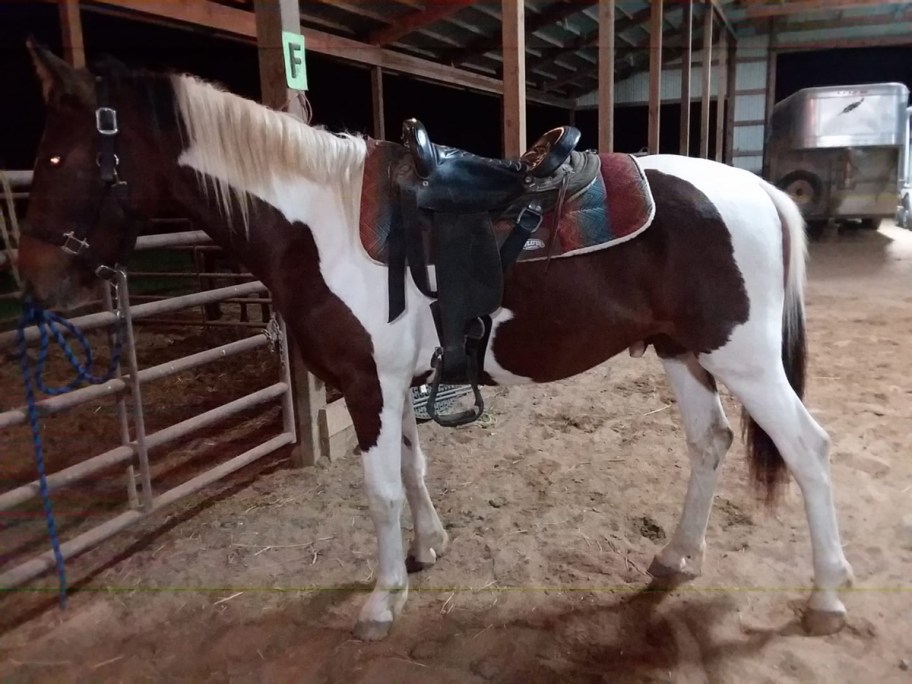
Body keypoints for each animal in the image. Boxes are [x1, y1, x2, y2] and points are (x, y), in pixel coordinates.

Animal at [16, 44, 856, 640]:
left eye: (59, 157)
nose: (36, 283)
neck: (315, 223)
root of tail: (761, 191)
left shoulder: (365, 383)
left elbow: (382, 490)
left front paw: (383, 599)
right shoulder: (394, 382)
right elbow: (413, 469)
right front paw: (428, 550)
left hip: (744, 360)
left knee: (808, 450)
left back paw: (827, 595)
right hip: (685, 354)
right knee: (710, 442)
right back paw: (677, 557)